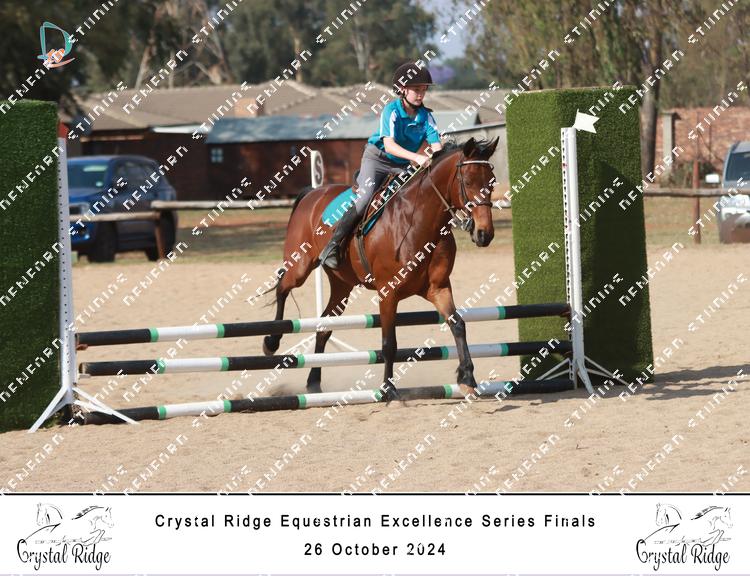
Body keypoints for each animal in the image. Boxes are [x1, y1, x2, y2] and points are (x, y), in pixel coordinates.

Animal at [262, 137, 499, 401]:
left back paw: (314, 383)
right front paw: (388, 389)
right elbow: (389, 343)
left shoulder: (438, 288)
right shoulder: (388, 292)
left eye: (492, 182)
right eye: (467, 182)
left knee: (324, 326)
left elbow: (458, 325)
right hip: (300, 266)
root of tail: (312, 193)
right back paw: (271, 342)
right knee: (282, 287)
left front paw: (467, 378)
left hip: (342, 285)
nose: (484, 234)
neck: (420, 222)